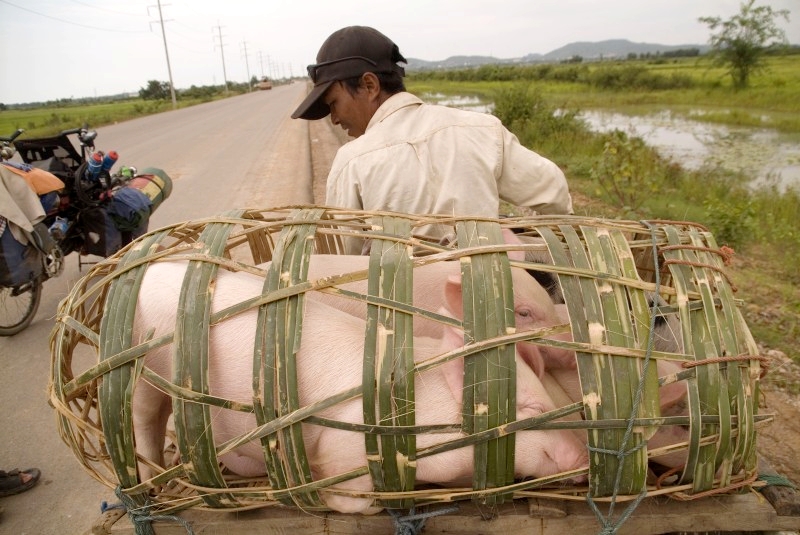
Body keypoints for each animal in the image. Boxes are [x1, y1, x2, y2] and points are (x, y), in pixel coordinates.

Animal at [131, 262, 588, 516]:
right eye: (531, 408)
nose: (584, 455)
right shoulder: (341, 447)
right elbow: (349, 494)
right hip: (143, 373)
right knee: (145, 419)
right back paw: (152, 485)